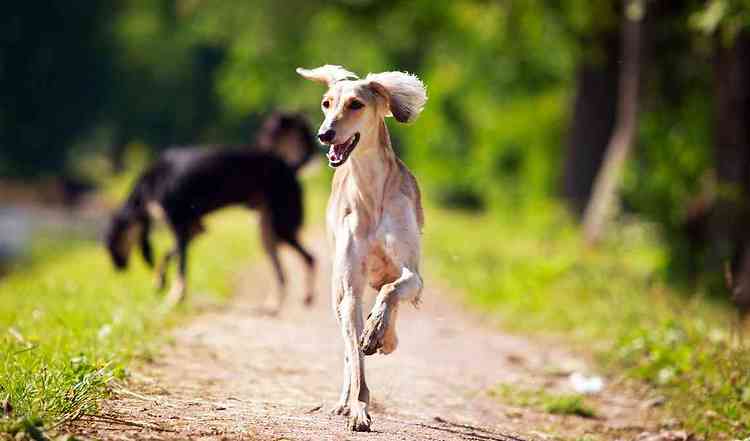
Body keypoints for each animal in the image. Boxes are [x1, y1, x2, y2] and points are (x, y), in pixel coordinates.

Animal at [106, 112, 318, 310]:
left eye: (111, 240)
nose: (116, 268)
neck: (148, 185)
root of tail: (290, 167)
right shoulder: (194, 228)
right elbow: (168, 255)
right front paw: (160, 281)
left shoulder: (180, 226)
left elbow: (181, 268)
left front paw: (174, 298)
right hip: (267, 233)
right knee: (284, 274)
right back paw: (274, 304)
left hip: (281, 228)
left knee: (310, 259)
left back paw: (306, 297)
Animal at [300, 64, 428, 430]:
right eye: (326, 103)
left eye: (355, 104)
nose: (324, 134)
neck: (371, 191)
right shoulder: (350, 292)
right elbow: (355, 360)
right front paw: (358, 407)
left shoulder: (413, 274)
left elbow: (392, 291)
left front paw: (377, 331)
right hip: (335, 294)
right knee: (347, 350)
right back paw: (345, 399)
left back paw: (385, 336)